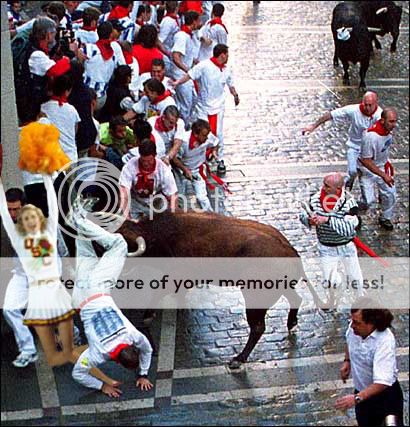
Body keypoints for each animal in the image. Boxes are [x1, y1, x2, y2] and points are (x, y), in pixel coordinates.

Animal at [93, 212, 324, 370]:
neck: (160, 236)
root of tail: (289, 249)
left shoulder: (175, 276)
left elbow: (155, 299)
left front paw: (148, 319)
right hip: (282, 288)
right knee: (296, 299)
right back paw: (291, 323)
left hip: (255, 298)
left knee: (258, 327)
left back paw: (238, 359)